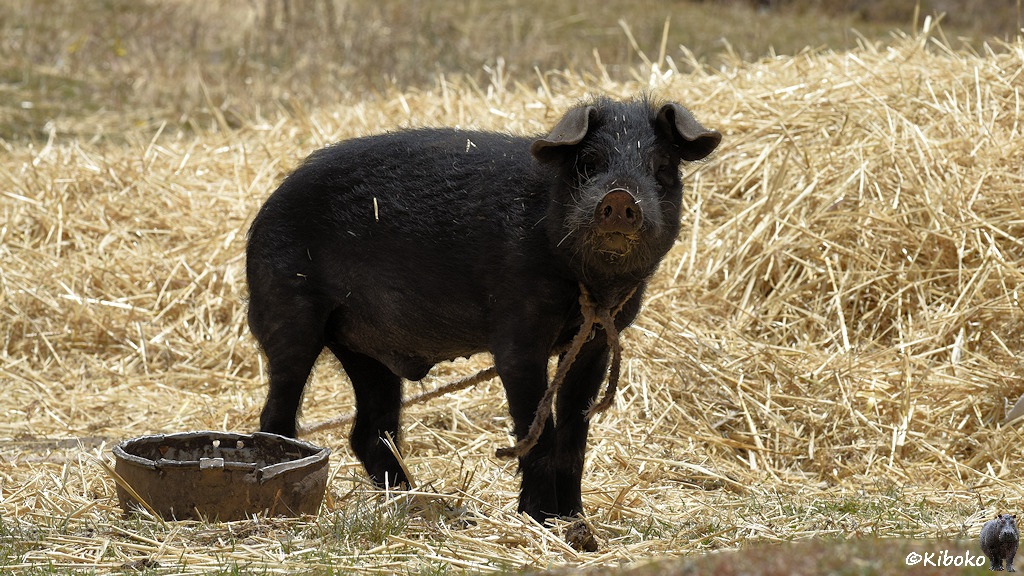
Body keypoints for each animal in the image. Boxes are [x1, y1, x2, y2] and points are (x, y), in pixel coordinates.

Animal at [246, 96, 721, 527]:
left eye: (662, 168)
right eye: (589, 163)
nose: (621, 196)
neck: (591, 291)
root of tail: (266, 206)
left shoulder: (598, 342)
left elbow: (574, 436)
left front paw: (576, 523)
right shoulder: (516, 334)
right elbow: (537, 431)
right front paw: (540, 520)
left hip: (364, 349)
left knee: (370, 431)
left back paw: (424, 507)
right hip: (289, 311)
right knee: (277, 412)